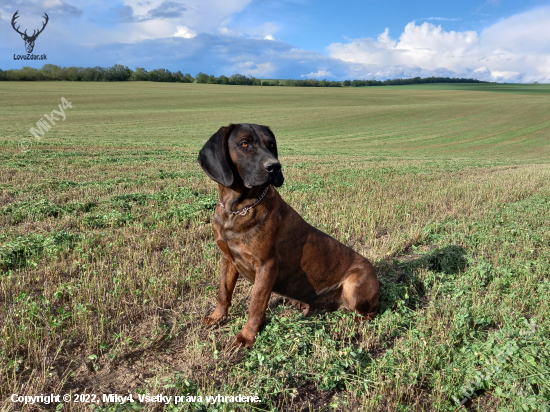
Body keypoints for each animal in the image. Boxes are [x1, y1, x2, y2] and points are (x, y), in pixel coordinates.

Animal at [196, 123, 382, 348]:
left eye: (271, 145)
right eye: (244, 143)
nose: (274, 167)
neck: (236, 209)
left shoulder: (266, 265)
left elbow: (256, 305)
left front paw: (247, 336)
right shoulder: (227, 258)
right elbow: (223, 293)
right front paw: (217, 317)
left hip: (354, 284)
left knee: (370, 313)